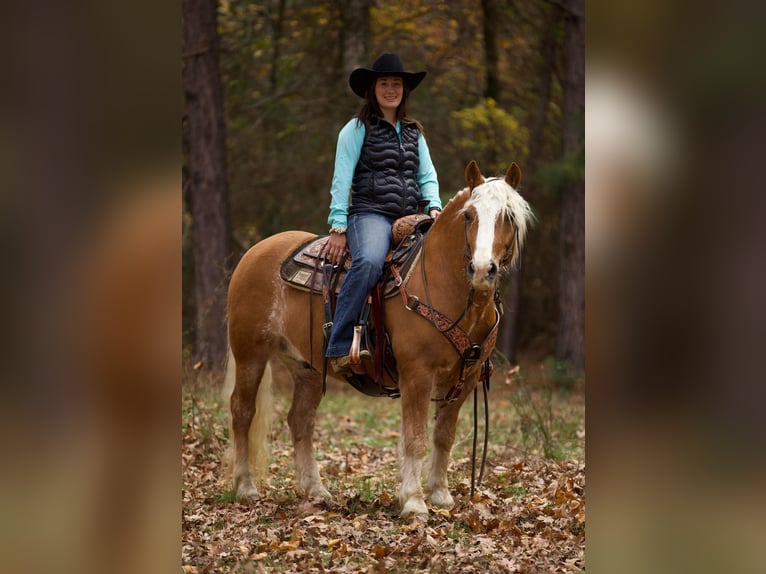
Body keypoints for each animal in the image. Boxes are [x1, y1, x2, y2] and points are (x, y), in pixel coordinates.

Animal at [222, 160, 536, 520]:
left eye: (508, 217)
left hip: (307, 369)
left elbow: (444, 435)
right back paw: (246, 487)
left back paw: (316, 491)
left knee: (300, 420)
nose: (483, 269)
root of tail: (254, 252)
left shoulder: (465, 378)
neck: (443, 283)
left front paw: (440, 495)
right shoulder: (417, 375)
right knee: (242, 411)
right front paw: (414, 502)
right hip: (250, 354)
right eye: (469, 215)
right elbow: (415, 437)